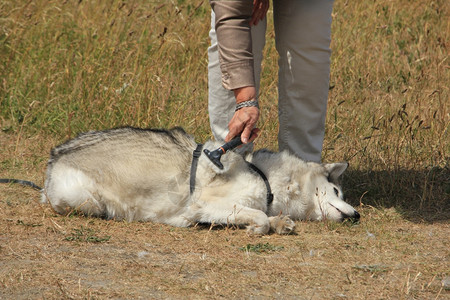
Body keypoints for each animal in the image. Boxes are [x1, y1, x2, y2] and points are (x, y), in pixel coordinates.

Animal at [41, 126, 358, 234]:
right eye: (336, 190)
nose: (357, 215)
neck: (267, 179)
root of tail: (54, 155)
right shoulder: (203, 206)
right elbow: (259, 217)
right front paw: (261, 228)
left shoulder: (219, 211)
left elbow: (262, 215)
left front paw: (279, 223)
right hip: (84, 198)